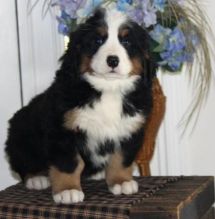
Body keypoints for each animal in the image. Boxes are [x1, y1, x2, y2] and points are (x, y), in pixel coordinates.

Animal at [5, 7, 156, 204]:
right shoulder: (62, 130)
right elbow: (70, 163)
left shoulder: (130, 129)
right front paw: (68, 190)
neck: (108, 89)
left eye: (126, 41)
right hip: (21, 134)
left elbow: (121, 159)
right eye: (98, 40)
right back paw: (37, 178)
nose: (113, 60)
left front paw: (121, 182)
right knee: (24, 162)